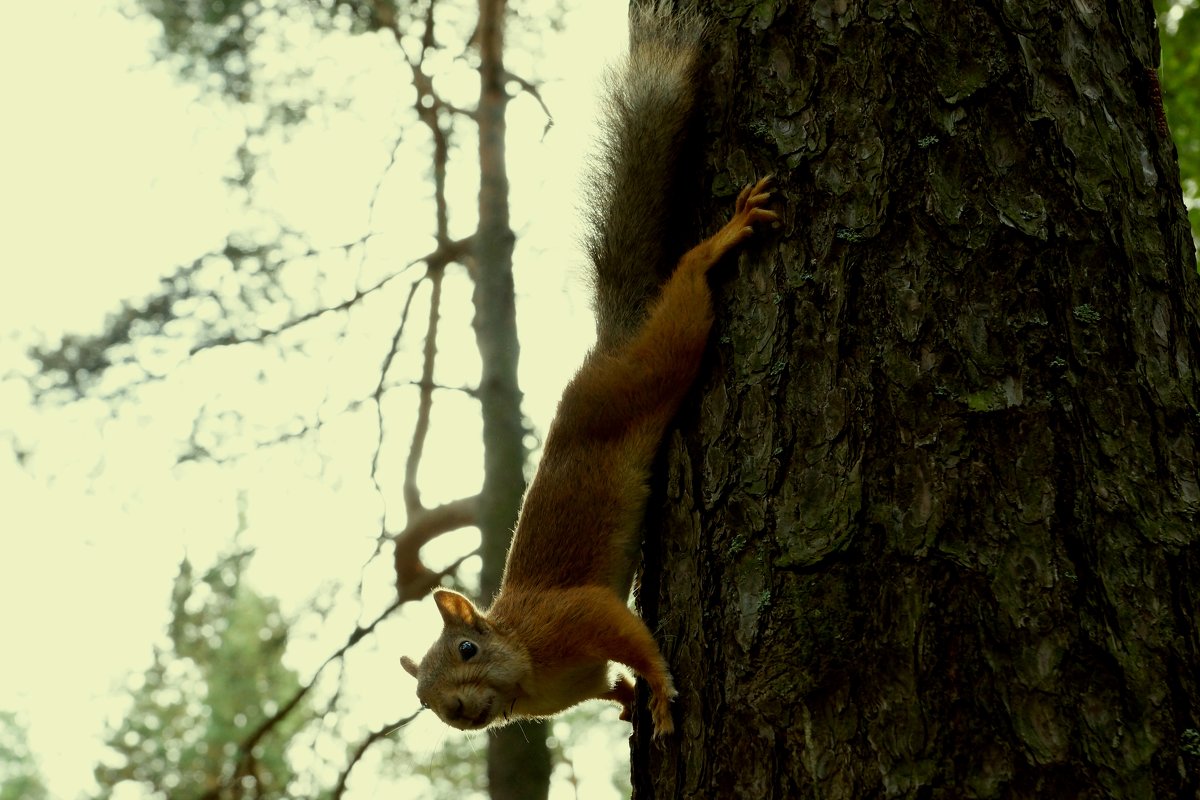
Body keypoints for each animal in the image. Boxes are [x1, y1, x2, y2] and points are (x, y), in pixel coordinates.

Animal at [400, 1, 777, 738]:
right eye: (424, 701)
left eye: (467, 649)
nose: (457, 710)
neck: (527, 664)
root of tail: (606, 348)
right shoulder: (578, 681)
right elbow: (609, 684)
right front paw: (631, 700)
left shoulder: (572, 613)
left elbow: (628, 633)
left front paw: (657, 688)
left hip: (651, 366)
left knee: (684, 302)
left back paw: (720, 240)